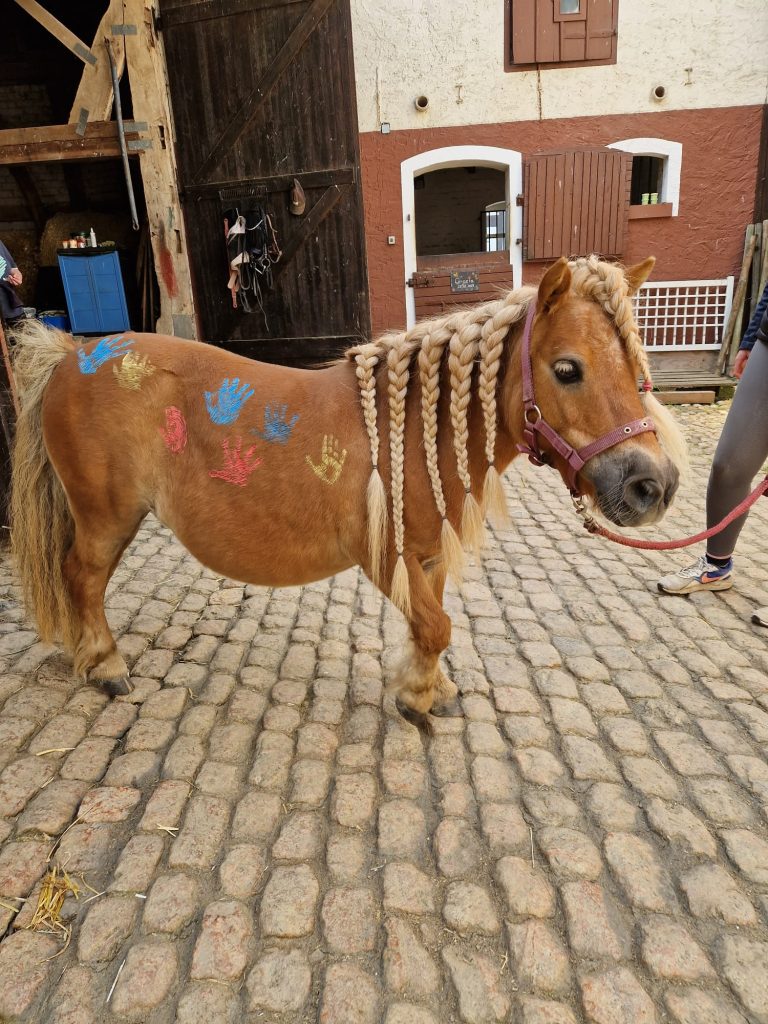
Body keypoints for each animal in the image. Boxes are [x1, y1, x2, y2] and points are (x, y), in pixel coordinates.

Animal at [10, 254, 685, 732]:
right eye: (568, 369)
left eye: (636, 367)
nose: (653, 485)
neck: (411, 431)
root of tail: (71, 354)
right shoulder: (385, 558)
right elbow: (436, 628)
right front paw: (415, 698)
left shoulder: (427, 558)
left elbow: (430, 626)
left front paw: (431, 687)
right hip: (106, 518)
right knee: (81, 577)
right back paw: (105, 664)